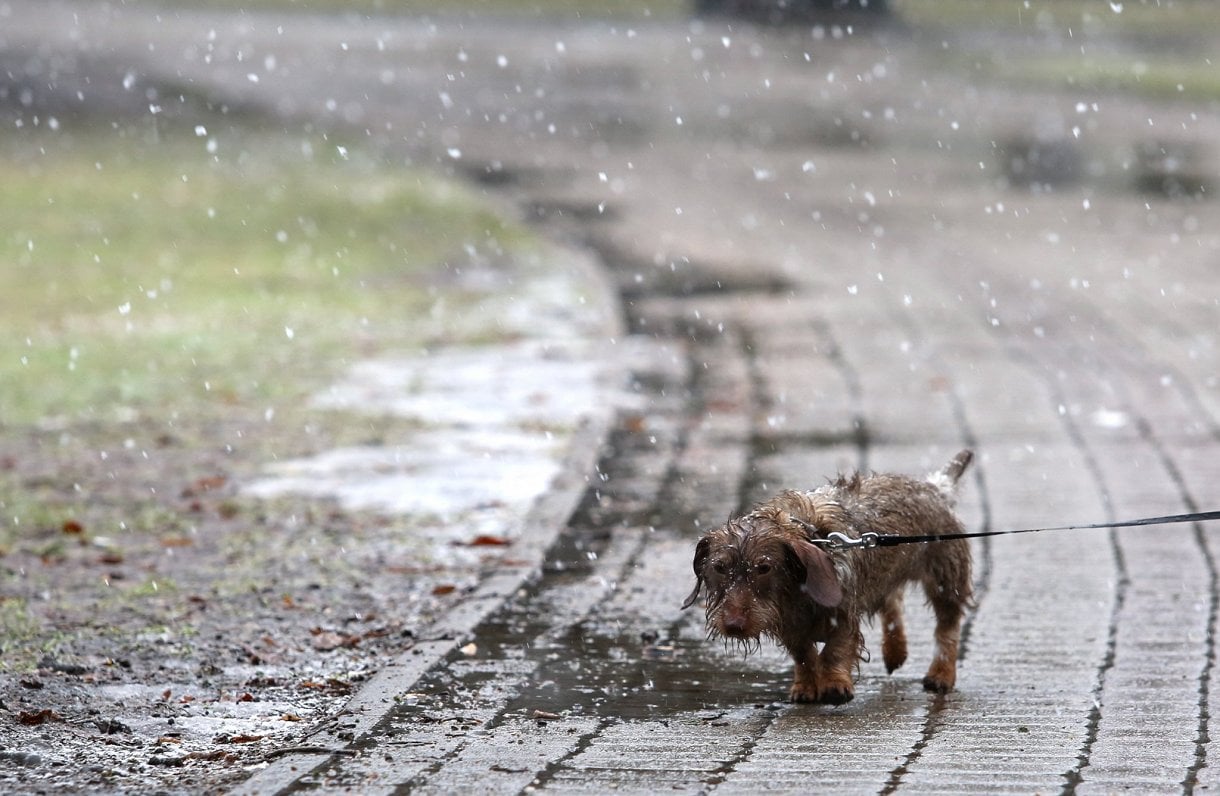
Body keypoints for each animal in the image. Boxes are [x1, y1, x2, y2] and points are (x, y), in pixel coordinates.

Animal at [683, 451, 976, 708]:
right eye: (720, 567)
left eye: (764, 568)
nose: (733, 625)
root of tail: (936, 487)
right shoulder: (790, 627)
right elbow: (803, 655)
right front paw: (805, 686)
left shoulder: (844, 614)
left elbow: (835, 649)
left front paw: (835, 683)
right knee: (892, 602)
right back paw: (895, 651)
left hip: (946, 579)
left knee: (947, 627)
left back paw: (941, 674)